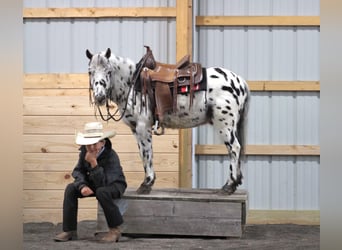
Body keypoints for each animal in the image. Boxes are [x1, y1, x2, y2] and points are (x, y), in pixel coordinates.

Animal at [85, 47, 250, 195]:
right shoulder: (135, 129)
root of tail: (240, 82)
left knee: (234, 148)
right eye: (90, 71)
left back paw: (228, 186)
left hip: (225, 124)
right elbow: (143, 154)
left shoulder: (143, 127)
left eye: (109, 71)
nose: (99, 97)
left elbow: (147, 153)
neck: (132, 83)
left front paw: (147, 184)